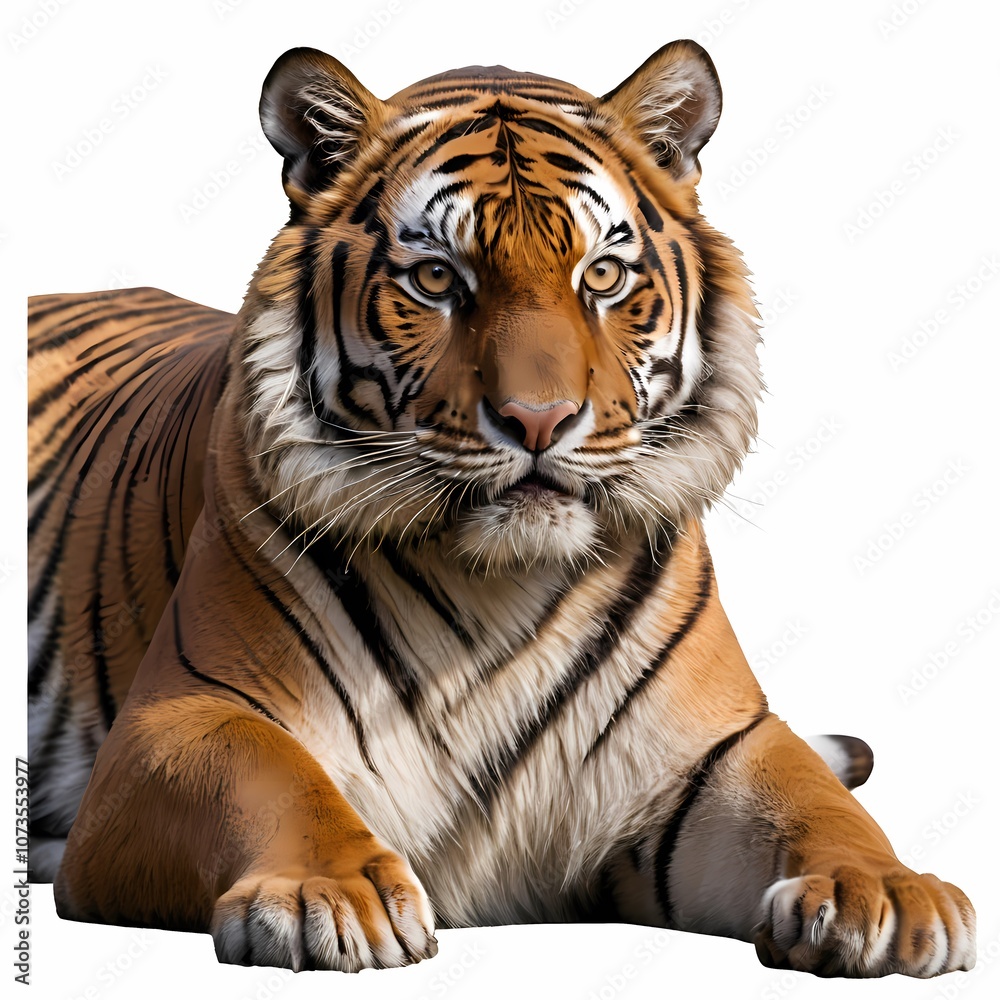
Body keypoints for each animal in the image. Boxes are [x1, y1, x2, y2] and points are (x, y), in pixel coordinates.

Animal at [27, 40, 976, 977]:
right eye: (436, 278)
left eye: (602, 274)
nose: (539, 419)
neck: (496, 583)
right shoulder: (179, 718)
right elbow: (270, 777)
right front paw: (327, 894)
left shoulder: (712, 750)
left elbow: (810, 799)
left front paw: (885, 894)